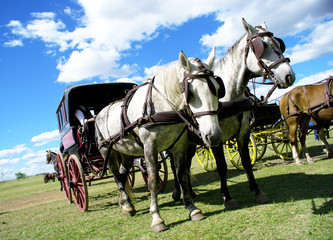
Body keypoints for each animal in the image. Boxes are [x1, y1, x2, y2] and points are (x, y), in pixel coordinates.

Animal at [94, 49, 222, 232]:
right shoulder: (150, 148)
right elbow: (153, 181)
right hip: (107, 151)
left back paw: (126, 204)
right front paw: (157, 218)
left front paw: (192, 208)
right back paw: (127, 205)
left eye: (218, 89)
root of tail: (98, 114)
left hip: (127, 153)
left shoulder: (180, 146)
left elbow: (182, 176)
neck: (163, 105)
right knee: (117, 177)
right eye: (190, 92)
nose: (214, 135)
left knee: (123, 175)